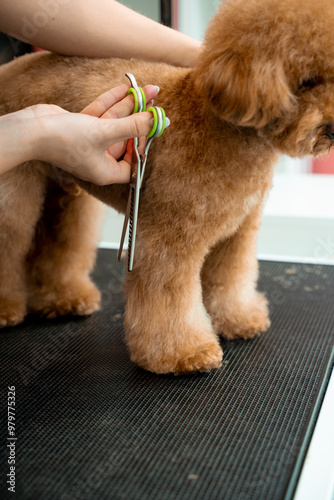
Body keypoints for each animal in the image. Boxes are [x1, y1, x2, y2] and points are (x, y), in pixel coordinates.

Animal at [0, 0, 334, 374]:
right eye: (307, 82)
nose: (333, 129)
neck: (225, 124)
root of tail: (8, 69)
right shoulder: (169, 238)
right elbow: (168, 298)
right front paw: (183, 353)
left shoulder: (238, 232)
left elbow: (230, 278)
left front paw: (238, 319)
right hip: (14, 193)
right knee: (11, 240)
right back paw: (6, 308)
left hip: (66, 193)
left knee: (58, 242)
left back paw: (63, 298)